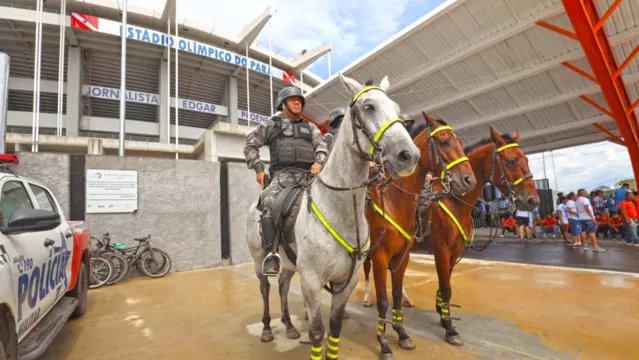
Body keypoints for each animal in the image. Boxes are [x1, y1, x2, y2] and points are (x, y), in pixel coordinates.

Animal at [245, 74, 420, 358]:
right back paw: (268, 328)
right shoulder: (312, 280)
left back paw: (289, 326)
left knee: (283, 286)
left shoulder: (346, 281)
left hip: (291, 265)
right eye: (369, 106)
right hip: (260, 258)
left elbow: (335, 326)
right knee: (265, 287)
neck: (341, 212)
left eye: (396, 108)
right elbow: (317, 332)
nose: (410, 155)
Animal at [362, 114, 478, 358]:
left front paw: (402, 334)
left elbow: (396, 294)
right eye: (443, 141)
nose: (468, 180)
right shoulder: (380, 256)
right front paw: (384, 343)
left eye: (460, 142)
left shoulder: (403, 256)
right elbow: (383, 301)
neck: (395, 200)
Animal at [424, 129, 540, 346]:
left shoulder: (454, 253)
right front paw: (450, 329)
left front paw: (444, 317)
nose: (533, 200)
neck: (453, 200)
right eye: (510, 161)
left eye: (526, 159)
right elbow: (446, 288)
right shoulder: (441, 251)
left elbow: (446, 286)